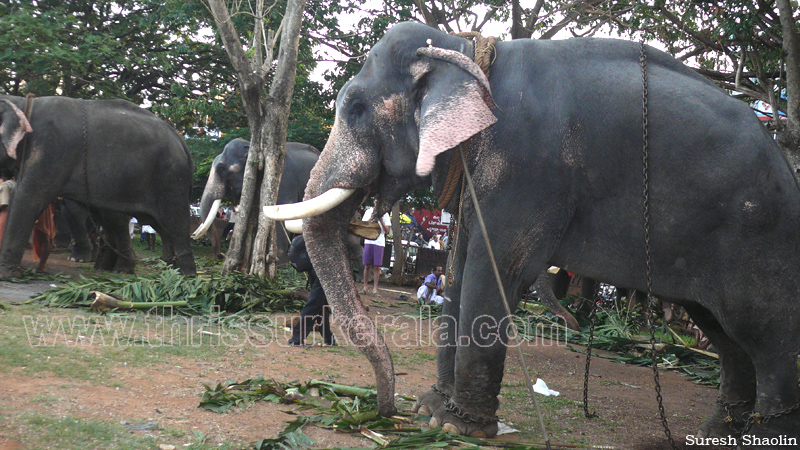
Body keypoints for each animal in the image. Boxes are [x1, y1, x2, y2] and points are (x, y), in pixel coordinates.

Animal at [0, 96, 195, 274]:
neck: (24, 104)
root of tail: (182, 142)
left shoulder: (50, 147)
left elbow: (28, 197)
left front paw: (6, 274)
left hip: (170, 178)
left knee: (175, 222)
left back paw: (184, 276)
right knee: (153, 225)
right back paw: (164, 271)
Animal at [268, 24, 800, 446]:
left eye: (357, 107)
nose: (385, 410)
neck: (466, 49)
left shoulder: (524, 165)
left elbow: (493, 271)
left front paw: (459, 428)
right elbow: (460, 269)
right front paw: (431, 413)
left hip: (759, 237)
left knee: (766, 334)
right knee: (723, 332)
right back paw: (719, 434)